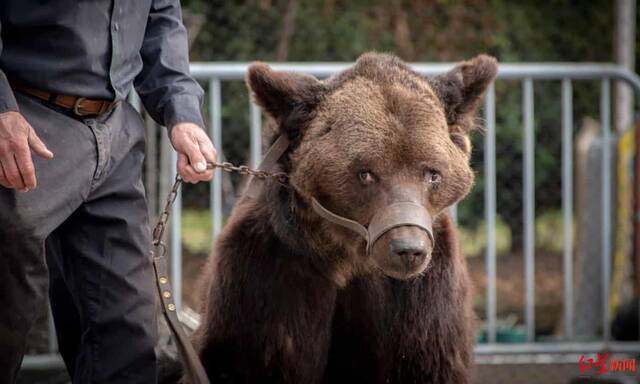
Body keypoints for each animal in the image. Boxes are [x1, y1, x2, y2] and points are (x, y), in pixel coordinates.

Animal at [185, 53, 496, 384]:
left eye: (433, 173)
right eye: (366, 173)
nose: (408, 249)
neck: (348, 258)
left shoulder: (422, 297)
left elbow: (425, 361)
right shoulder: (269, 275)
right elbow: (252, 358)